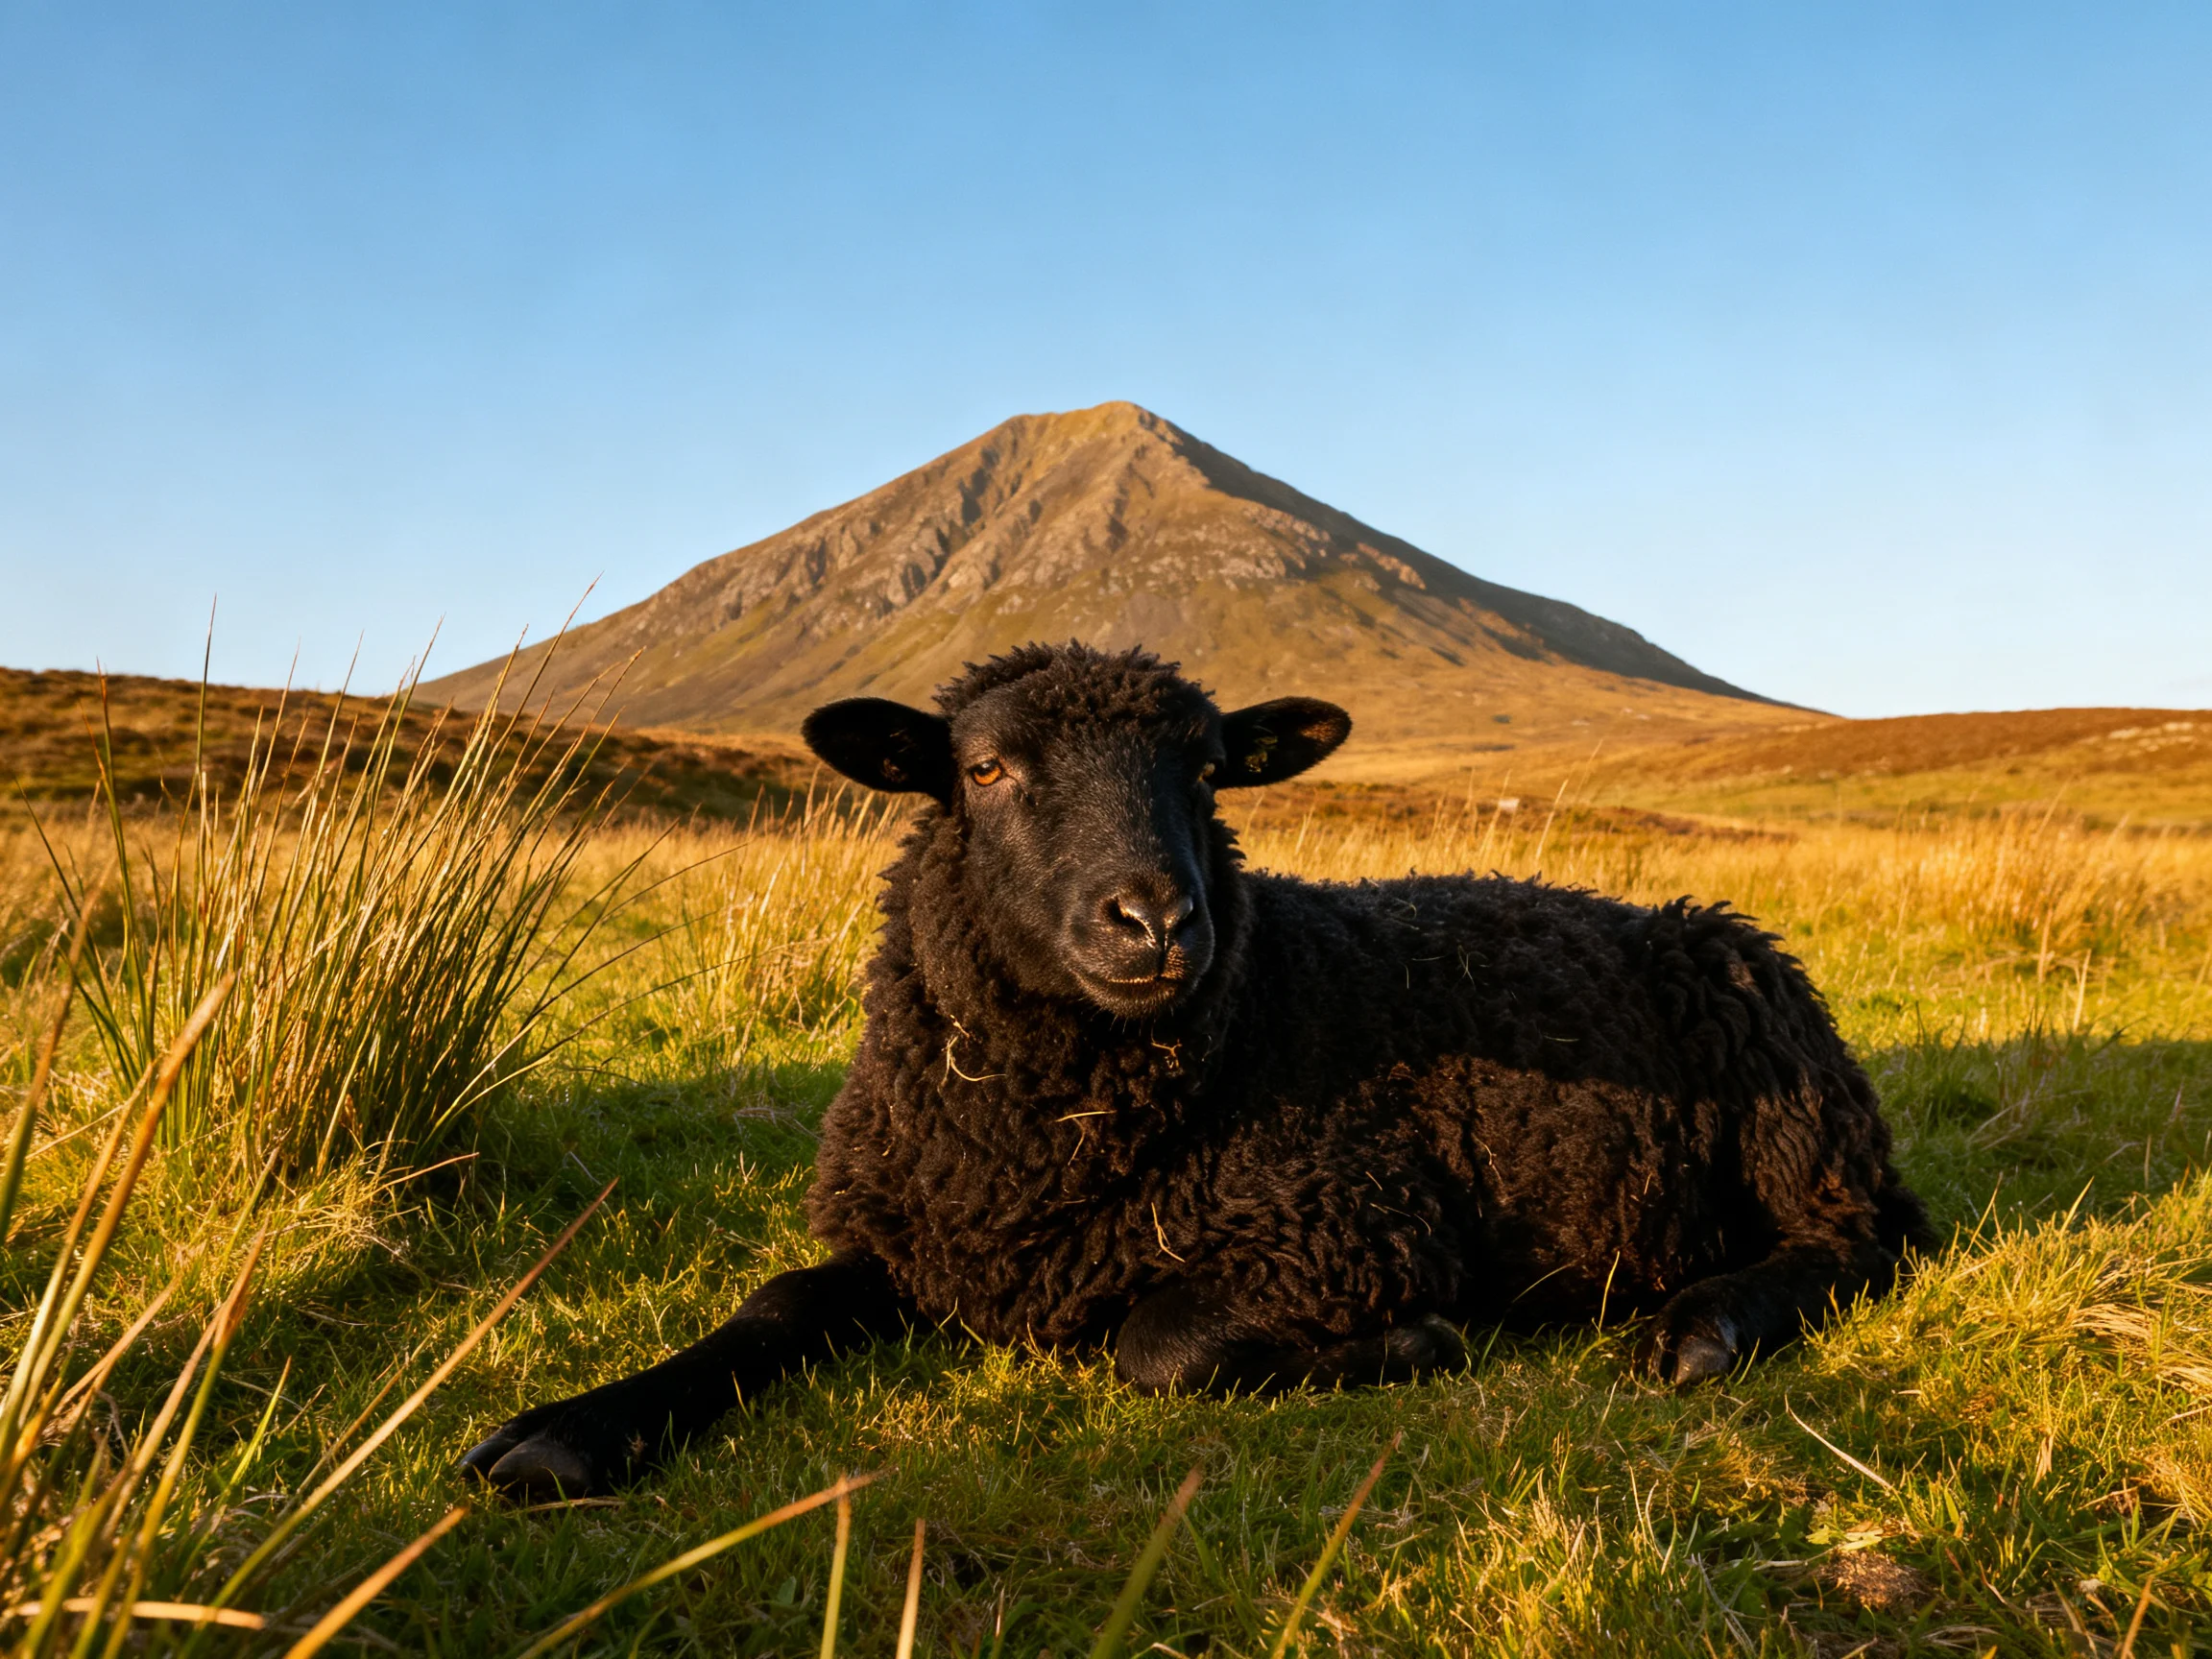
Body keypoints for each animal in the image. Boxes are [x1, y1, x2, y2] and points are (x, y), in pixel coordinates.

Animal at [464, 642, 1929, 1498]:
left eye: (1213, 769)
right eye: (983, 769)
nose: (1158, 920)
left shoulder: (1350, 1232)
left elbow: (1155, 1348)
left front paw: (1415, 1343)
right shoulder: (911, 1239)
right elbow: (771, 1304)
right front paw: (567, 1431)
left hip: (1787, 1087)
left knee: (1861, 1242)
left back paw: (1700, 1326)